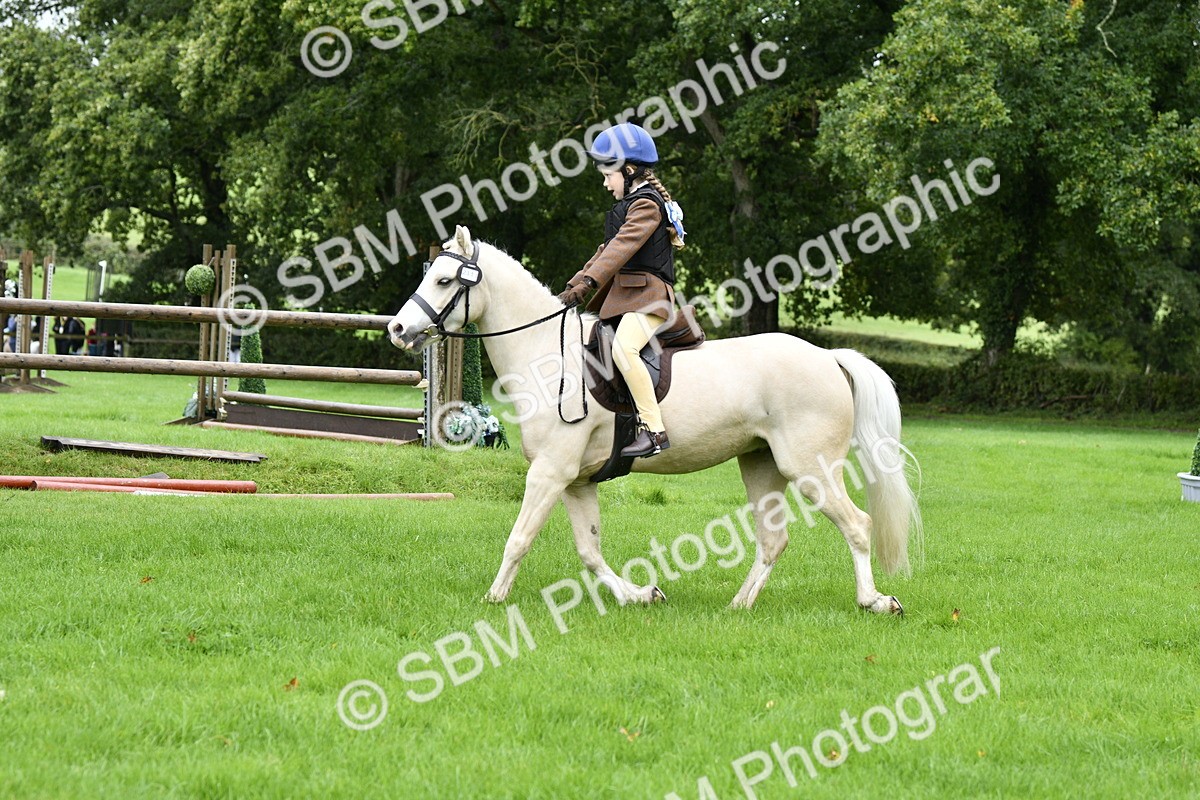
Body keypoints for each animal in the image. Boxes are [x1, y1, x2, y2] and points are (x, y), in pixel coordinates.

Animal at [388, 225, 921, 613]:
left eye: (444, 281)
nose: (397, 329)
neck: (547, 356)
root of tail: (828, 358)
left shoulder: (549, 473)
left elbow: (519, 539)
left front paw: (494, 598)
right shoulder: (576, 482)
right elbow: (590, 552)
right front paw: (640, 594)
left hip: (810, 468)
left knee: (857, 524)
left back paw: (875, 602)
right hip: (762, 466)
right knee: (774, 540)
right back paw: (739, 605)